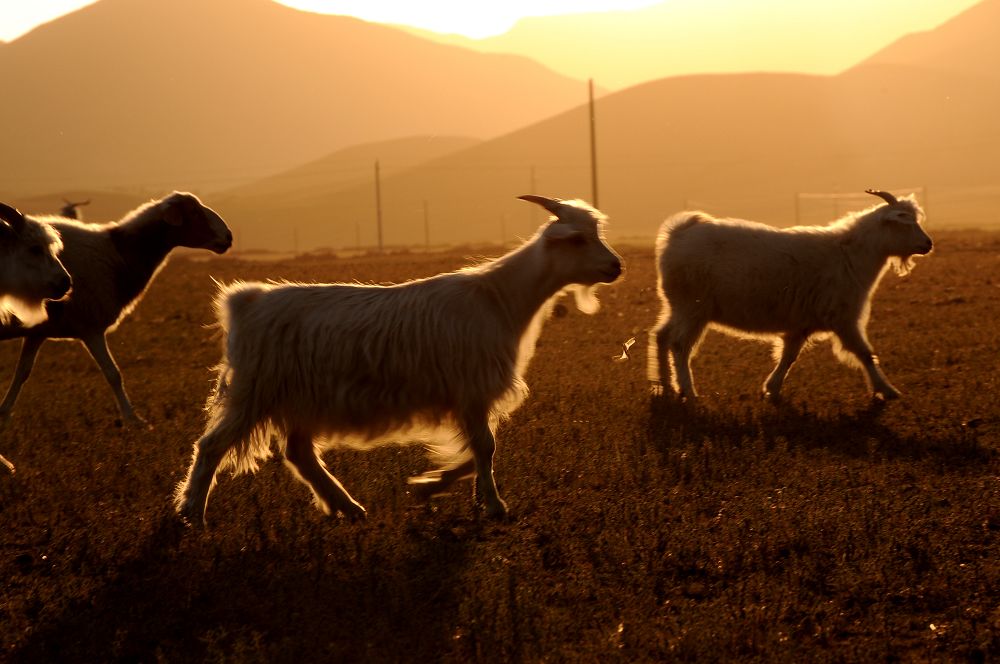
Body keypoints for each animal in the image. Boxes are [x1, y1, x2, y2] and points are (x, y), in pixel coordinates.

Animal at [0, 193, 232, 426]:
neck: (118, 254)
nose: (228, 236)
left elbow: (22, 373)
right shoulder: (91, 328)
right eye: (194, 211)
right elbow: (113, 374)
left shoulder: (38, 331)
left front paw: (4, 411)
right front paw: (133, 418)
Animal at [176, 195, 620, 528]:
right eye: (578, 239)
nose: (617, 266)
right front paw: (494, 505)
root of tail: (246, 301)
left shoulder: (468, 398)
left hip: (298, 397)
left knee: (299, 452)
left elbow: (477, 453)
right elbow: (485, 448)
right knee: (211, 446)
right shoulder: (472, 390)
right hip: (255, 391)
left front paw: (432, 486)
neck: (500, 299)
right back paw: (192, 515)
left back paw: (347, 507)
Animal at [652, 189, 932, 402]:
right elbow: (864, 353)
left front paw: (772, 388)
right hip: (692, 307)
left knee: (661, 336)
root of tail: (678, 234)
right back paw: (687, 390)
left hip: (678, 305)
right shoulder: (842, 317)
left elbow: (789, 357)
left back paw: (662, 386)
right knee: (679, 344)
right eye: (905, 223)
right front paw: (887, 390)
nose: (928, 244)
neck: (849, 254)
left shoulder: (802, 323)